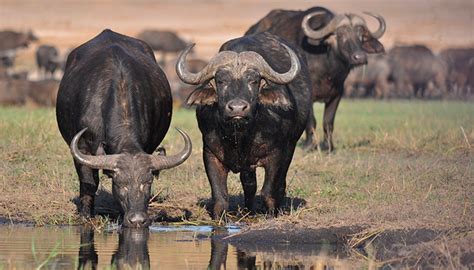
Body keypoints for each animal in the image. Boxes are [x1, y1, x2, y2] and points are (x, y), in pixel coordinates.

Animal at [57, 29, 193, 228]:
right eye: (120, 184)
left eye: (148, 183)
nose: (137, 219)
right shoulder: (82, 148)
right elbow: (89, 181)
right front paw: (85, 215)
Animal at [176, 32, 312, 219]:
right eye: (221, 81)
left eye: (254, 81)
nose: (237, 108)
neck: (240, 135)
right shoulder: (210, 154)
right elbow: (220, 196)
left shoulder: (277, 155)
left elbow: (268, 191)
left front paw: (271, 214)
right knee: (249, 184)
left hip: (291, 147)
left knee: (279, 183)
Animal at [246, 6, 386, 151]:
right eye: (341, 35)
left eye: (361, 37)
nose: (360, 57)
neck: (328, 68)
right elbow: (311, 120)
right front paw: (309, 145)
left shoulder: (337, 94)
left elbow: (328, 122)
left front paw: (329, 146)